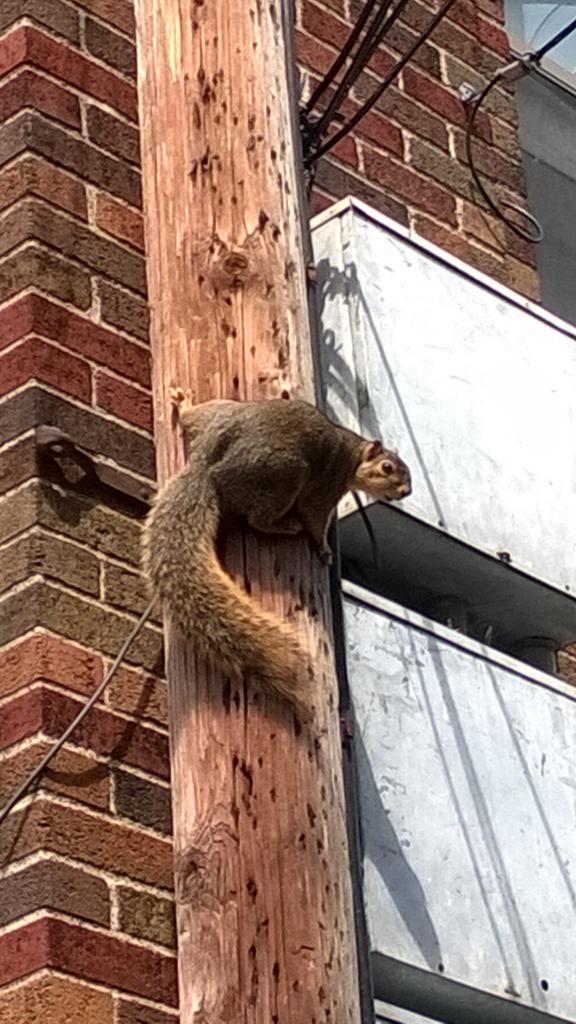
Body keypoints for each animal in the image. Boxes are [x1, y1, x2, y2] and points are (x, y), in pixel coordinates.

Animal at [141, 387, 409, 716]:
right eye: (387, 467)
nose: (406, 491)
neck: (352, 451)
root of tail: (207, 468)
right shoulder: (326, 488)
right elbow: (315, 517)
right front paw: (323, 549)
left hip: (222, 414)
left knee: (193, 418)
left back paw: (183, 404)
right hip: (283, 475)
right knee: (259, 519)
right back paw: (285, 526)